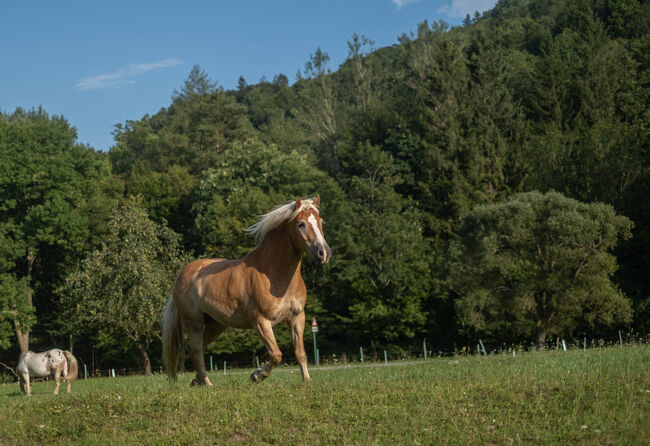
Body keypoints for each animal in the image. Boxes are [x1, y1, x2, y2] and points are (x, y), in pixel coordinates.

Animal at [162, 197, 330, 386]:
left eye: (321, 221)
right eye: (301, 224)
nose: (324, 253)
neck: (273, 274)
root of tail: (182, 275)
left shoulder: (297, 317)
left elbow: (300, 352)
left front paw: (307, 380)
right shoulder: (260, 321)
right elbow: (276, 354)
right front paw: (257, 375)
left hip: (216, 325)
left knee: (198, 349)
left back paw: (196, 381)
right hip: (194, 323)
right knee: (196, 352)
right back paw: (207, 384)